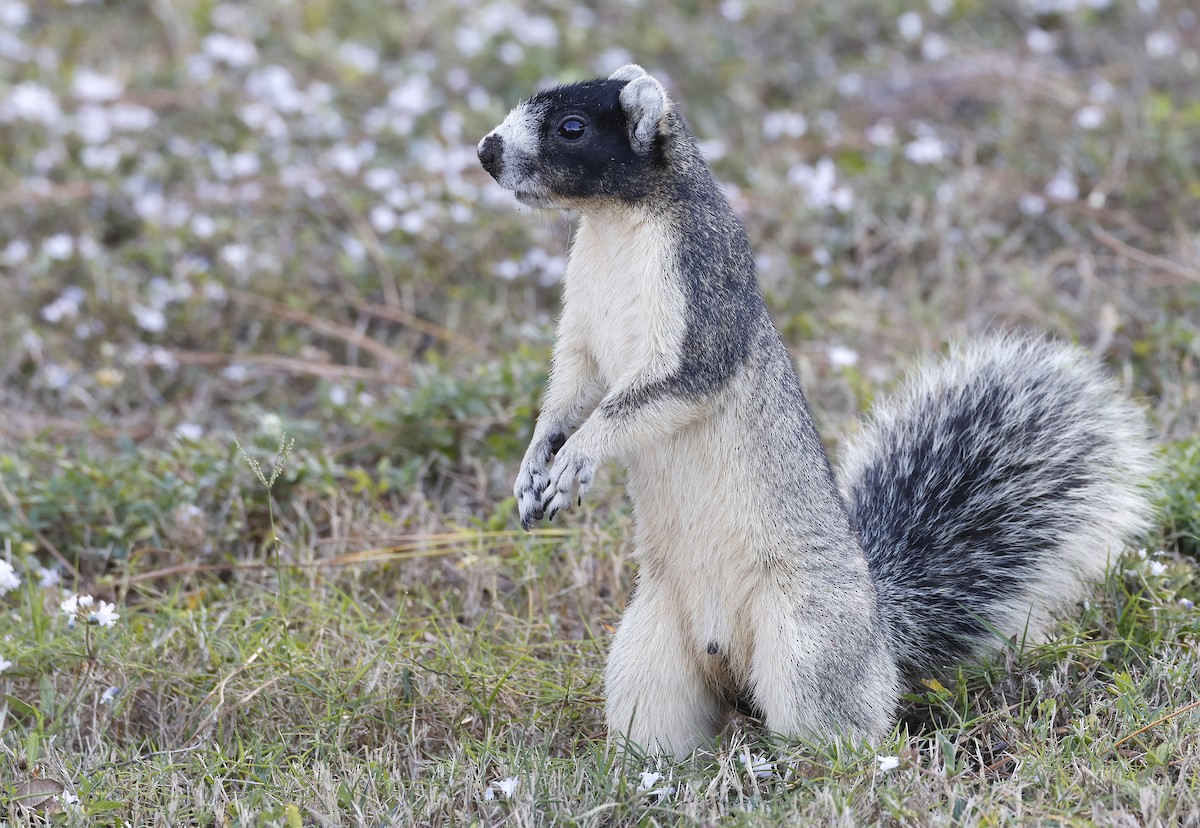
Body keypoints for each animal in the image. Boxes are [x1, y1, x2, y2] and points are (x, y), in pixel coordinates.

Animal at [478, 65, 1156, 759]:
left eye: (572, 127)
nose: (486, 152)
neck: (613, 228)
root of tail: (882, 632)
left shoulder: (702, 299)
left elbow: (662, 391)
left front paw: (578, 458)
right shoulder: (583, 335)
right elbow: (570, 391)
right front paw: (535, 466)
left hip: (807, 643)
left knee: (831, 721)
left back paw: (814, 763)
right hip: (649, 654)